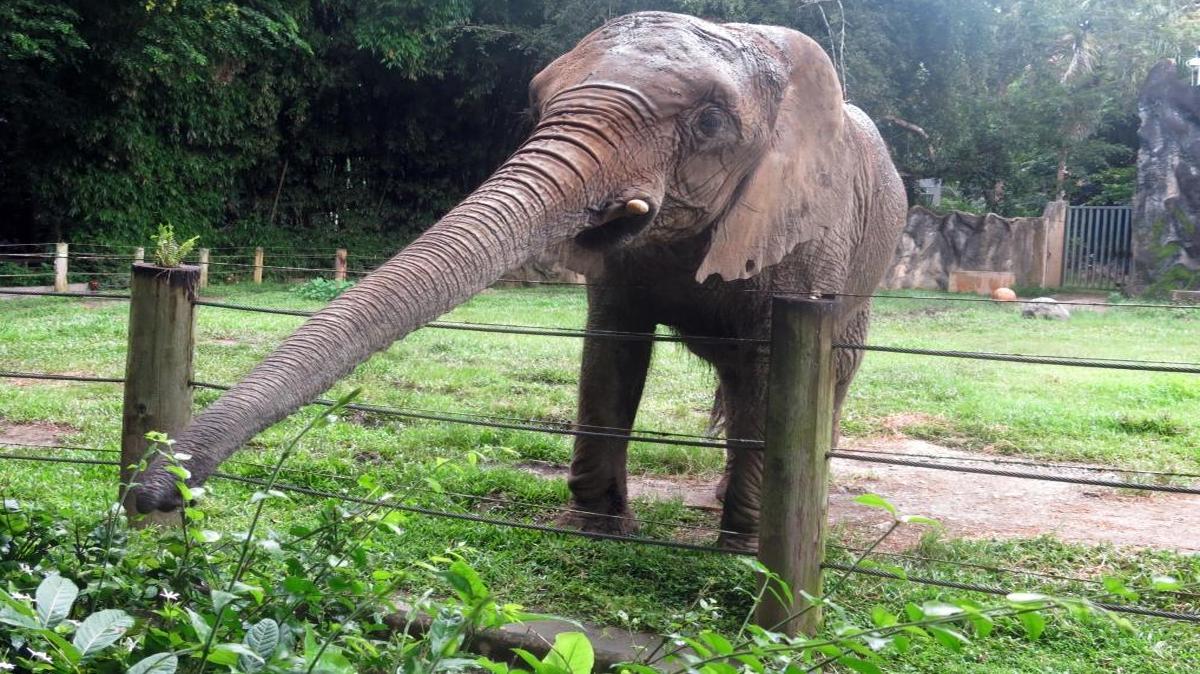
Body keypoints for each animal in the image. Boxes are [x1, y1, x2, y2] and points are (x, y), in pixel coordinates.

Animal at [134, 11, 907, 551]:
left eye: (711, 122)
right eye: (538, 105)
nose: (147, 495)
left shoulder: (810, 232)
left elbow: (776, 361)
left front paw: (742, 550)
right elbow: (613, 347)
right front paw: (595, 530)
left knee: (818, 372)